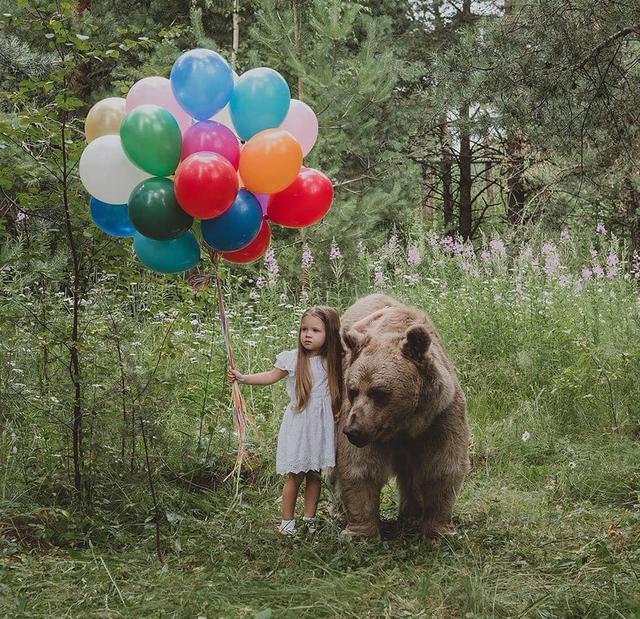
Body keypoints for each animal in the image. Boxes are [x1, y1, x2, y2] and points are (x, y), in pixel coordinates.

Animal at [332, 294, 472, 540]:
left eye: (379, 392)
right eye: (353, 390)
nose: (353, 431)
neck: (405, 423)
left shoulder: (441, 415)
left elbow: (443, 466)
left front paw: (438, 530)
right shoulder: (357, 418)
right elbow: (359, 467)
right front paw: (360, 532)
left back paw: (412, 514)